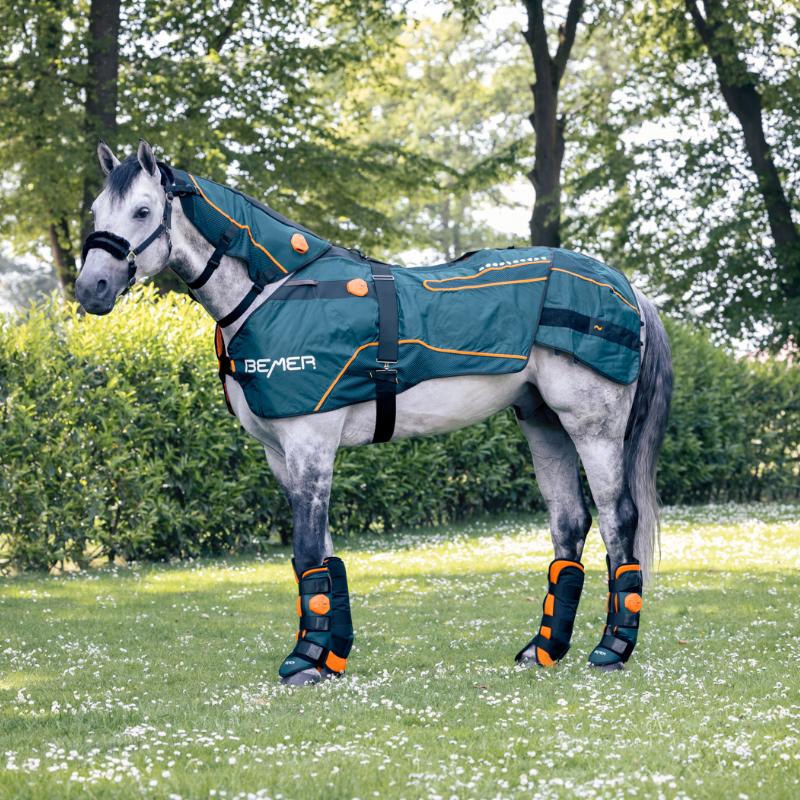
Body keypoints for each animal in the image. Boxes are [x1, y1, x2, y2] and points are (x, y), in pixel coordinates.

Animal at [76, 140, 673, 685]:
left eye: (143, 211)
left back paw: (612, 649)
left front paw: (304, 662)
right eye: (96, 212)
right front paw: (329, 655)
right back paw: (544, 649)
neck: (273, 291)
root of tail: (625, 286)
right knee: (569, 523)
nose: (91, 288)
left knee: (618, 521)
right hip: (543, 423)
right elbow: (323, 559)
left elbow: (307, 552)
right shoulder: (282, 456)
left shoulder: (310, 444)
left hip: (592, 428)